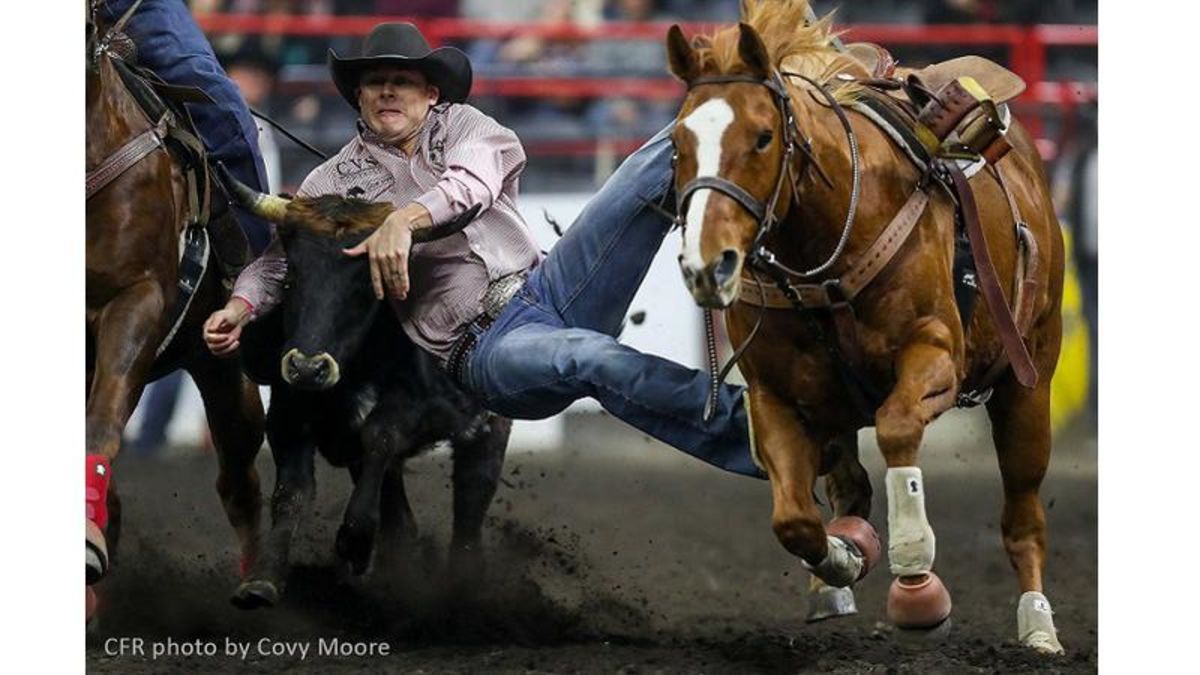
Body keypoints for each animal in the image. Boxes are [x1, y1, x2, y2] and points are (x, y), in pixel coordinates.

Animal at [672, 0, 1065, 653]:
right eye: (677, 144)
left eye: (763, 136)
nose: (708, 265)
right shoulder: (774, 396)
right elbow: (795, 519)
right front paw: (844, 556)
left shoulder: (935, 353)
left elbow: (898, 426)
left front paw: (916, 581)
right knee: (847, 483)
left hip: (1027, 381)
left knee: (1024, 518)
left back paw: (1038, 629)